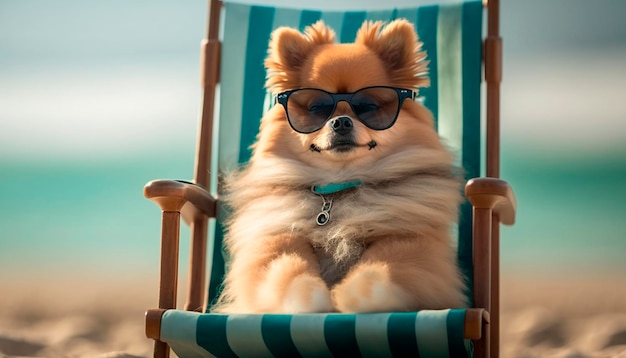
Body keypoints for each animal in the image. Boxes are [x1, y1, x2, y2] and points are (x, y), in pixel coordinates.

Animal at [212, 18, 466, 314]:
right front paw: (310, 297)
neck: (339, 189)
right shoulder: (278, 239)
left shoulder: (409, 241)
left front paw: (352, 295)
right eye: (317, 108)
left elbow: (382, 268)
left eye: (368, 106)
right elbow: (289, 269)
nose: (342, 121)